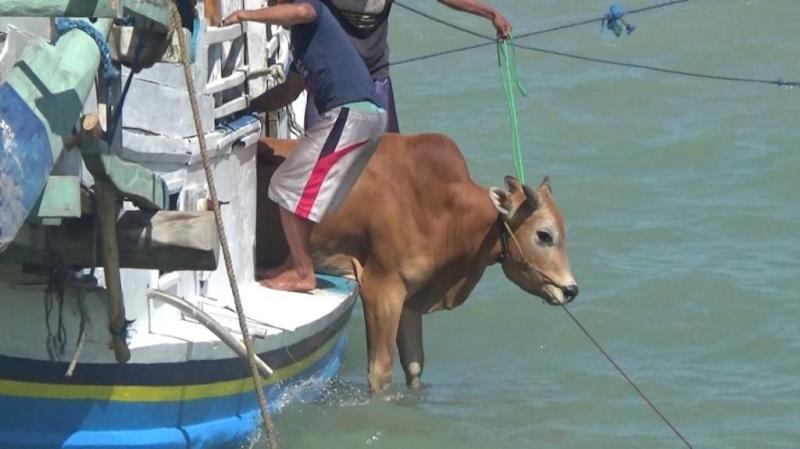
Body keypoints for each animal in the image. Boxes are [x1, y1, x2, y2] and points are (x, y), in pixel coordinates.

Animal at [260, 133, 580, 392]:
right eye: (544, 234)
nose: (571, 290)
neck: (441, 207)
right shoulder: (381, 291)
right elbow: (380, 373)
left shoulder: (410, 299)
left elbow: (414, 365)